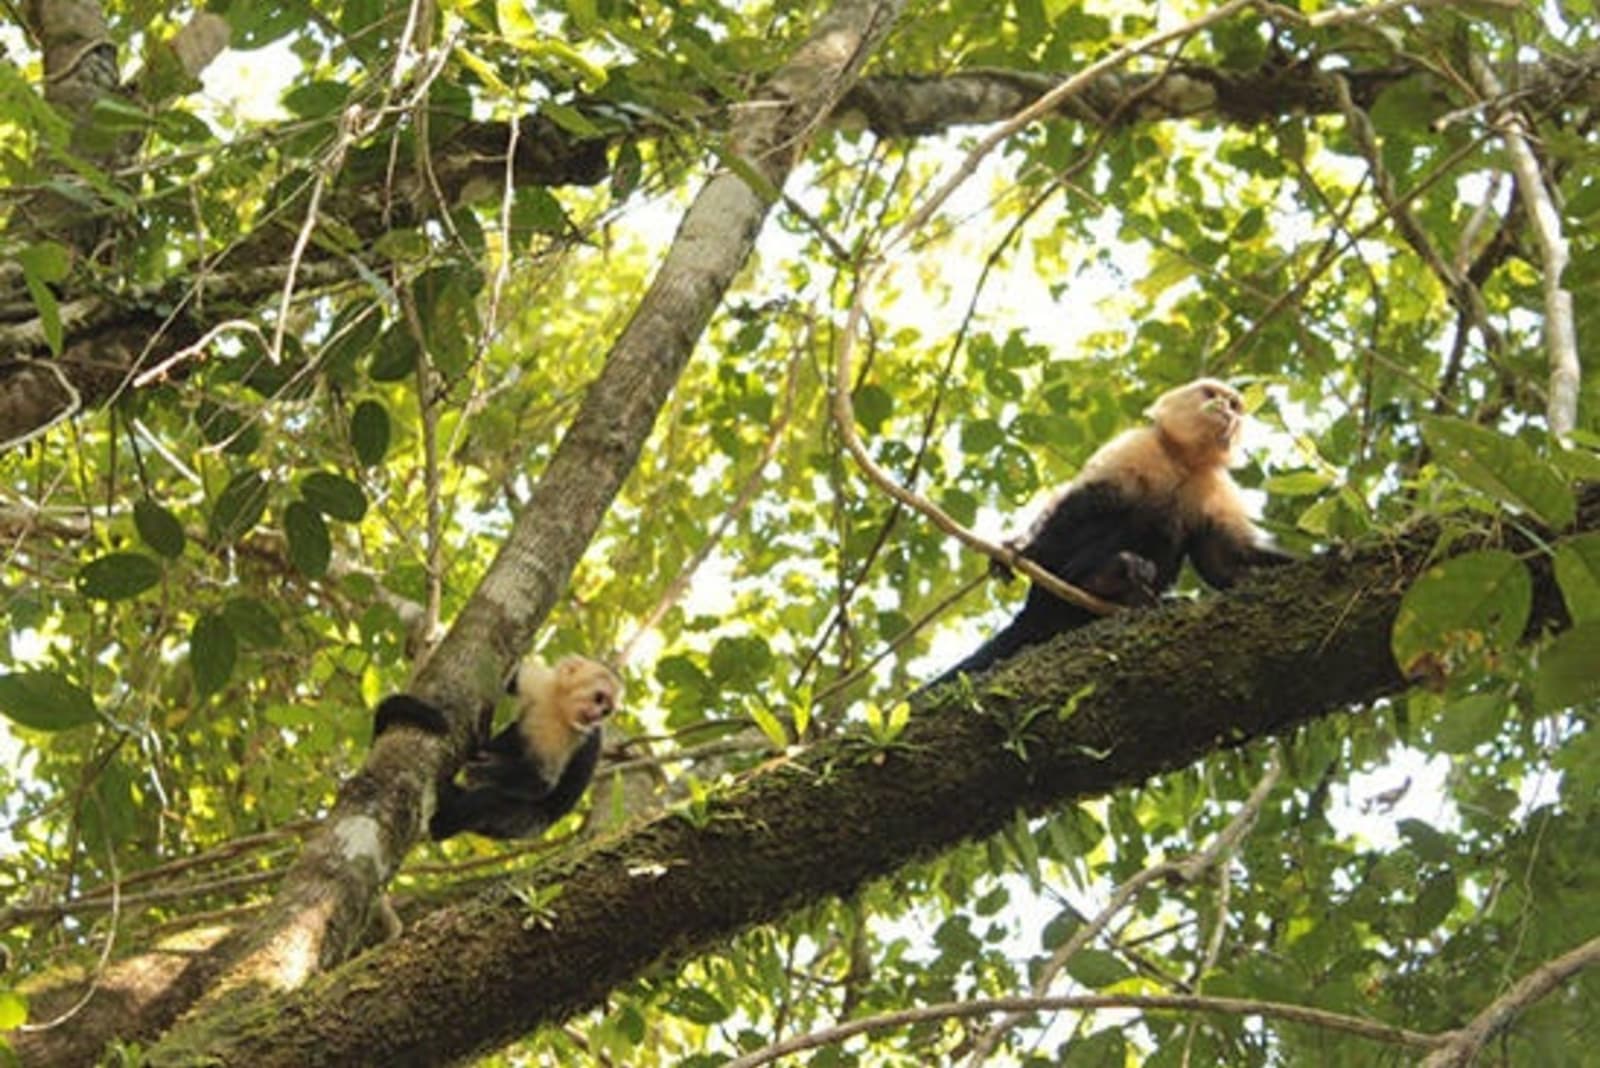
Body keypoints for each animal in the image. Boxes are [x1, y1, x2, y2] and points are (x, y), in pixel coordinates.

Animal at [372, 654, 621, 841]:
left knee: (488, 801)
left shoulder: (572, 733)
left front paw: (484, 770)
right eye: (599, 698)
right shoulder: (538, 683)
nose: (597, 716)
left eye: (606, 710)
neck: (557, 706)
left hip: (526, 822)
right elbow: (512, 679)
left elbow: (541, 780)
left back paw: (444, 821)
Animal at [935, 377, 1291, 683]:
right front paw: (1021, 547)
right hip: (1059, 575)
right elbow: (1083, 502)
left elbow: (1222, 560)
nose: (1226, 410)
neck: (1182, 459)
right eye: (1210, 394)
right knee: (1129, 515)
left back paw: (1139, 598)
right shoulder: (1136, 445)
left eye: (1234, 404)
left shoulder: (1213, 483)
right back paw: (1104, 578)